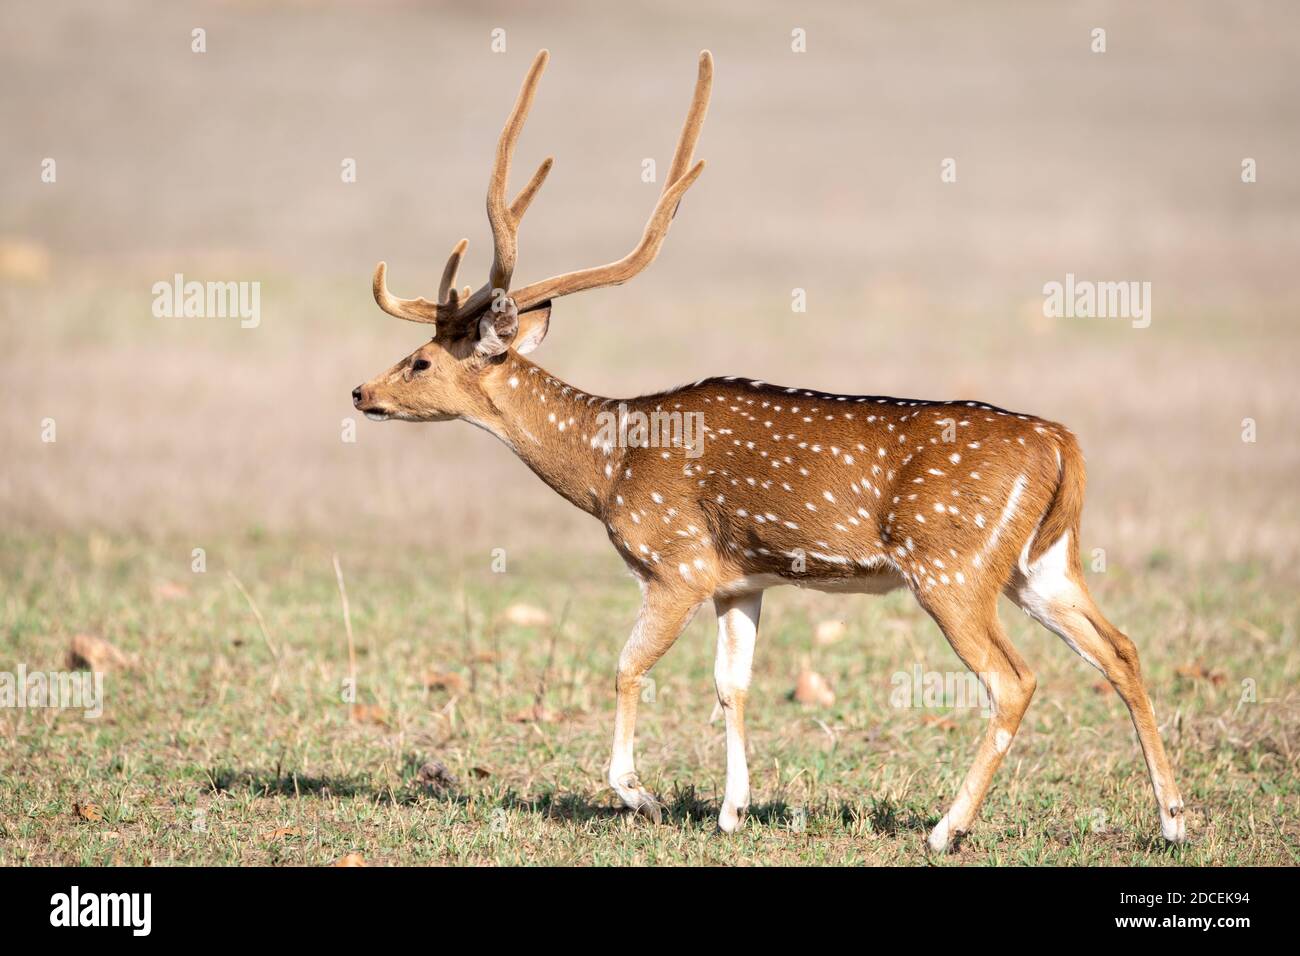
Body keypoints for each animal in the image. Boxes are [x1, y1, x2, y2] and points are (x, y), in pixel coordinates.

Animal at [351, 49, 1187, 852]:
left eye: (420, 361)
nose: (361, 392)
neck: (608, 466)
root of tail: (1062, 444)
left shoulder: (675, 561)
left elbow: (628, 666)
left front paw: (641, 796)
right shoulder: (739, 579)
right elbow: (734, 683)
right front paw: (732, 810)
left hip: (954, 566)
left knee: (1015, 679)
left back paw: (947, 828)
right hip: (1041, 563)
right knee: (1122, 649)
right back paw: (1174, 819)